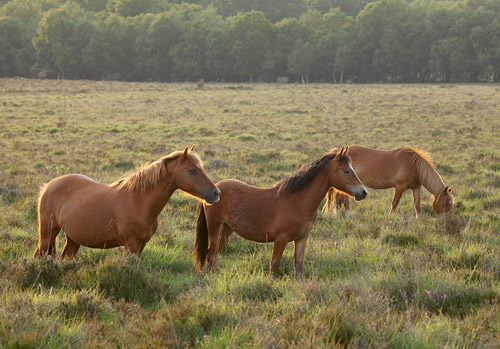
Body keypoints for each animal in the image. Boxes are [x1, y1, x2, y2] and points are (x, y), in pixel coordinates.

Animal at [34, 145, 221, 258]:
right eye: (193, 170)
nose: (216, 193)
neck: (139, 201)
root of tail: (48, 186)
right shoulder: (131, 244)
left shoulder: (141, 245)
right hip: (48, 234)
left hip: (73, 238)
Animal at [193, 145, 366, 278]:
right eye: (345, 171)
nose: (363, 192)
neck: (298, 201)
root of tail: (214, 190)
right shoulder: (281, 239)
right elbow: (274, 265)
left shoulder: (302, 238)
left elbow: (298, 265)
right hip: (215, 229)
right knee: (211, 254)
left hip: (226, 230)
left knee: (212, 254)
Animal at [322, 145, 456, 216]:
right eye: (445, 204)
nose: (447, 221)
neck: (414, 165)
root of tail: (338, 151)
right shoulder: (400, 187)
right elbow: (394, 203)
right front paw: (390, 217)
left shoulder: (416, 187)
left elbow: (417, 205)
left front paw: (418, 219)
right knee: (343, 198)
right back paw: (348, 214)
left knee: (340, 198)